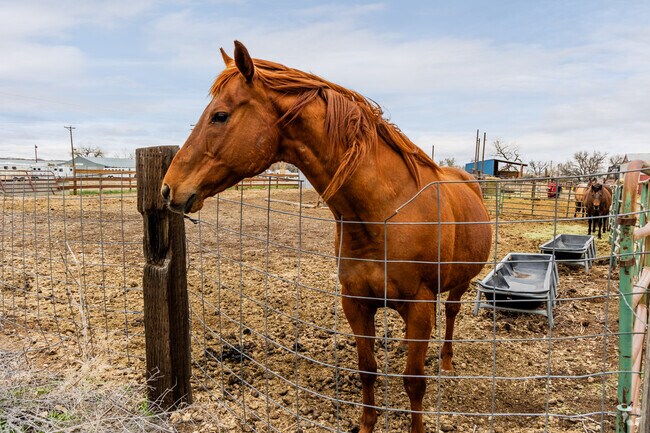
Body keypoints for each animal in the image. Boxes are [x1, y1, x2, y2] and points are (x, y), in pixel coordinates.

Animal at [161, 41, 492, 433]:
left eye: (220, 116)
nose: (168, 189)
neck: (386, 212)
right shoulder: (355, 303)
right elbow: (367, 370)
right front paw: (366, 425)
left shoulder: (419, 305)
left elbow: (414, 381)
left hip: (460, 282)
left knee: (452, 313)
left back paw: (446, 363)